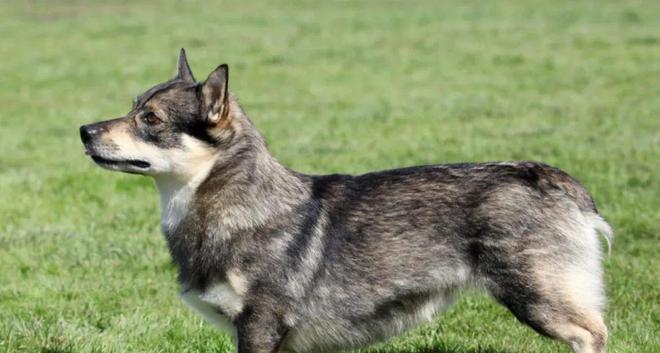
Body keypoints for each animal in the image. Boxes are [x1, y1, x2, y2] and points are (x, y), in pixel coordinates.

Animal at [81, 48, 612, 352]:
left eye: (150, 119)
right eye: (133, 107)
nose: (83, 130)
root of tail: (546, 176)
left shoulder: (259, 326)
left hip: (538, 298)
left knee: (593, 335)